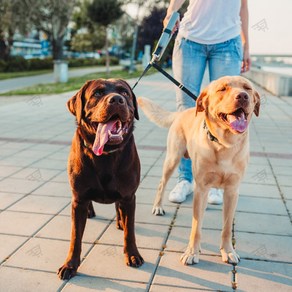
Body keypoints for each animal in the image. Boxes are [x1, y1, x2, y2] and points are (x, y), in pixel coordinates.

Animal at [57, 78, 143, 280]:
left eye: (124, 92)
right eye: (97, 93)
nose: (117, 99)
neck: (105, 154)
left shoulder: (129, 196)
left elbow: (130, 231)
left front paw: (132, 254)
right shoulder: (78, 199)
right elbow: (75, 236)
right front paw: (70, 264)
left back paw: (120, 220)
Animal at [137, 76, 260, 266]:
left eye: (247, 88)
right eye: (223, 89)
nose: (242, 96)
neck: (225, 144)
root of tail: (182, 112)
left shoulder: (232, 191)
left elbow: (226, 228)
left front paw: (228, 251)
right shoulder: (202, 187)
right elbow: (196, 227)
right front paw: (192, 252)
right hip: (173, 158)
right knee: (162, 184)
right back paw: (158, 206)